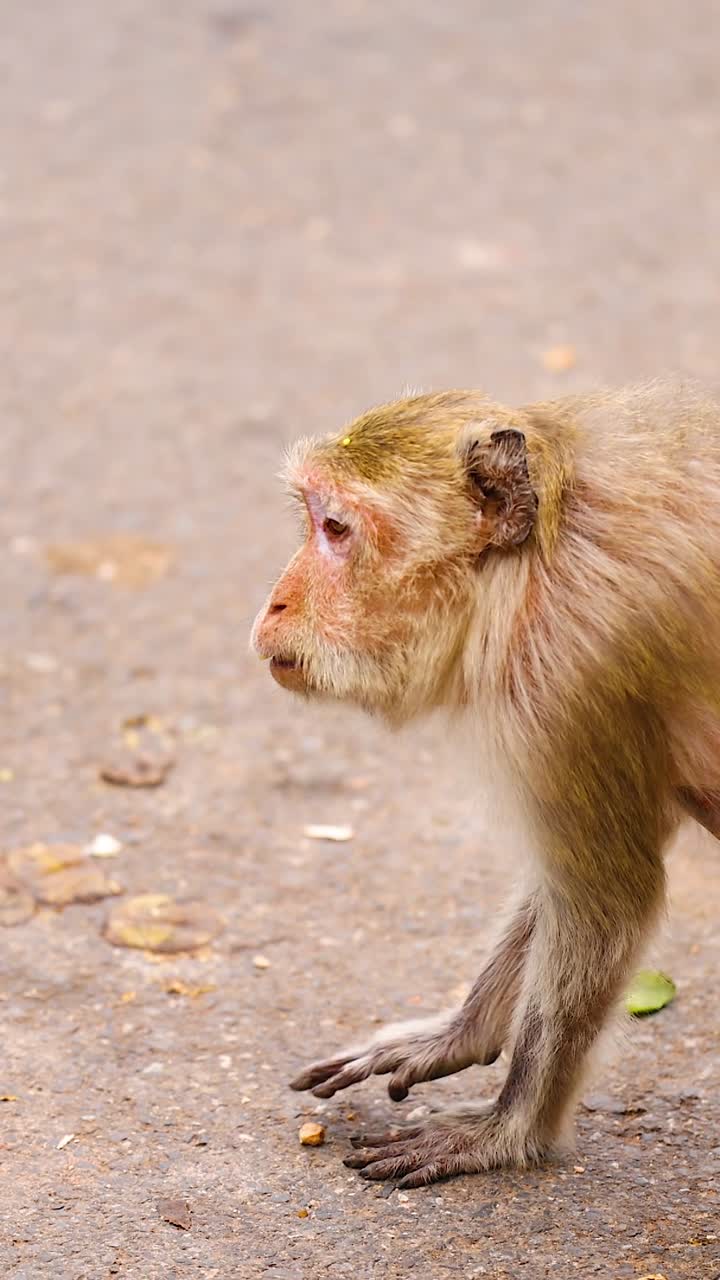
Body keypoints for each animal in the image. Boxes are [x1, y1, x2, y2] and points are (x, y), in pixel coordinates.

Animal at [251, 382, 720, 1188]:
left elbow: (610, 899)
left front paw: (506, 1129)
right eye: (314, 521)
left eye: (336, 528)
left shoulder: (571, 668)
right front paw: (458, 1033)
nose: (274, 604)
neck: (534, 565)